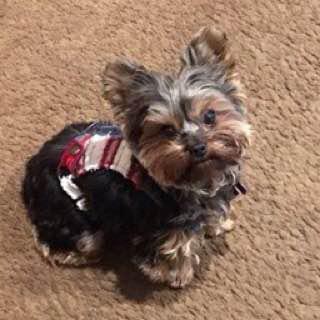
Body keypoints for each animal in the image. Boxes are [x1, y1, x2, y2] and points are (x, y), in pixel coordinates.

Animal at [23, 26, 252, 288]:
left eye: (210, 115)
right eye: (167, 130)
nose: (197, 147)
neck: (200, 181)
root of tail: (32, 168)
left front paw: (218, 225)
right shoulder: (165, 231)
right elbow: (175, 253)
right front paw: (177, 276)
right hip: (70, 212)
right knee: (65, 238)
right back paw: (72, 253)